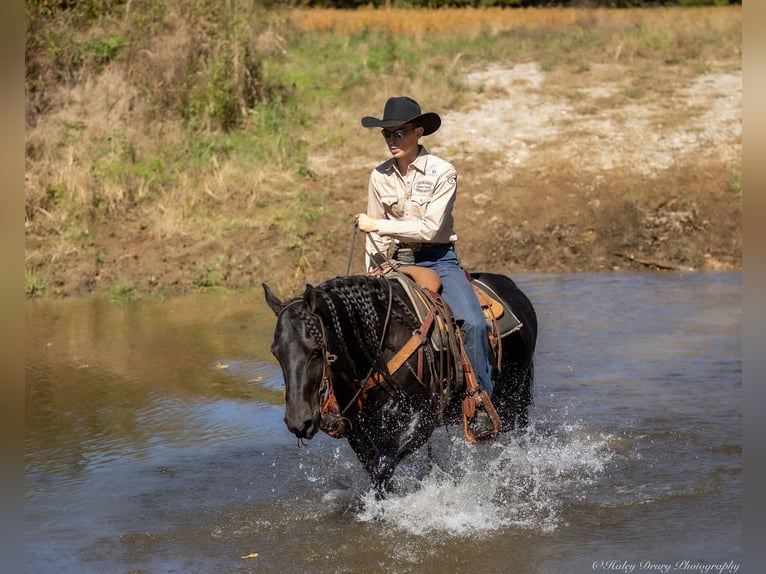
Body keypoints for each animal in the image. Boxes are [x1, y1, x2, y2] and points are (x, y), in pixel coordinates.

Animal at [263, 272, 537, 495]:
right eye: (276, 352)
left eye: (315, 351)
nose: (299, 422)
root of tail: (512, 288)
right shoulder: (360, 430)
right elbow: (375, 471)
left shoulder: (422, 419)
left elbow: (383, 467)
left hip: (515, 397)